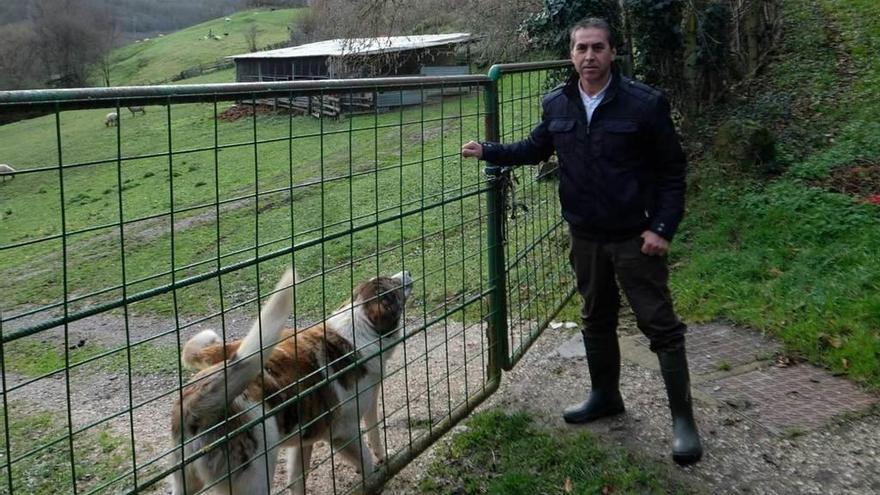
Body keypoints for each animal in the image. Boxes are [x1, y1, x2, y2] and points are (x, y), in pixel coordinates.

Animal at [170, 270, 414, 494]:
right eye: (392, 286)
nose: (407, 273)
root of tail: (195, 402)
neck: (361, 327)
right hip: (257, 477)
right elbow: (366, 463)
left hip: (186, 483)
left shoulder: (305, 439)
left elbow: (298, 479)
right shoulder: (344, 433)